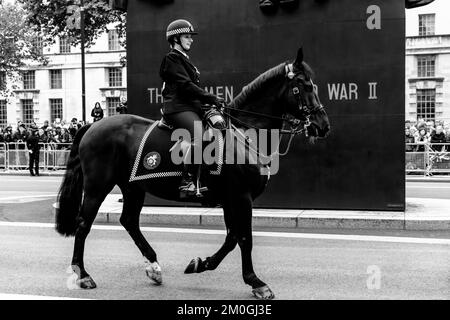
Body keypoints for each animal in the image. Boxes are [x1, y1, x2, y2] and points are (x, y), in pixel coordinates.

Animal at [56, 48, 330, 300]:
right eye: (304, 86)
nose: (322, 125)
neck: (245, 135)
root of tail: (92, 126)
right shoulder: (241, 197)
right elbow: (244, 238)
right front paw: (256, 282)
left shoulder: (230, 199)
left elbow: (232, 237)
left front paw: (201, 264)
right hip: (97, 186)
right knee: (84, 224)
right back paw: (83, 275)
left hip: (133, 187)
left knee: (129, 221)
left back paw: (154, 267)